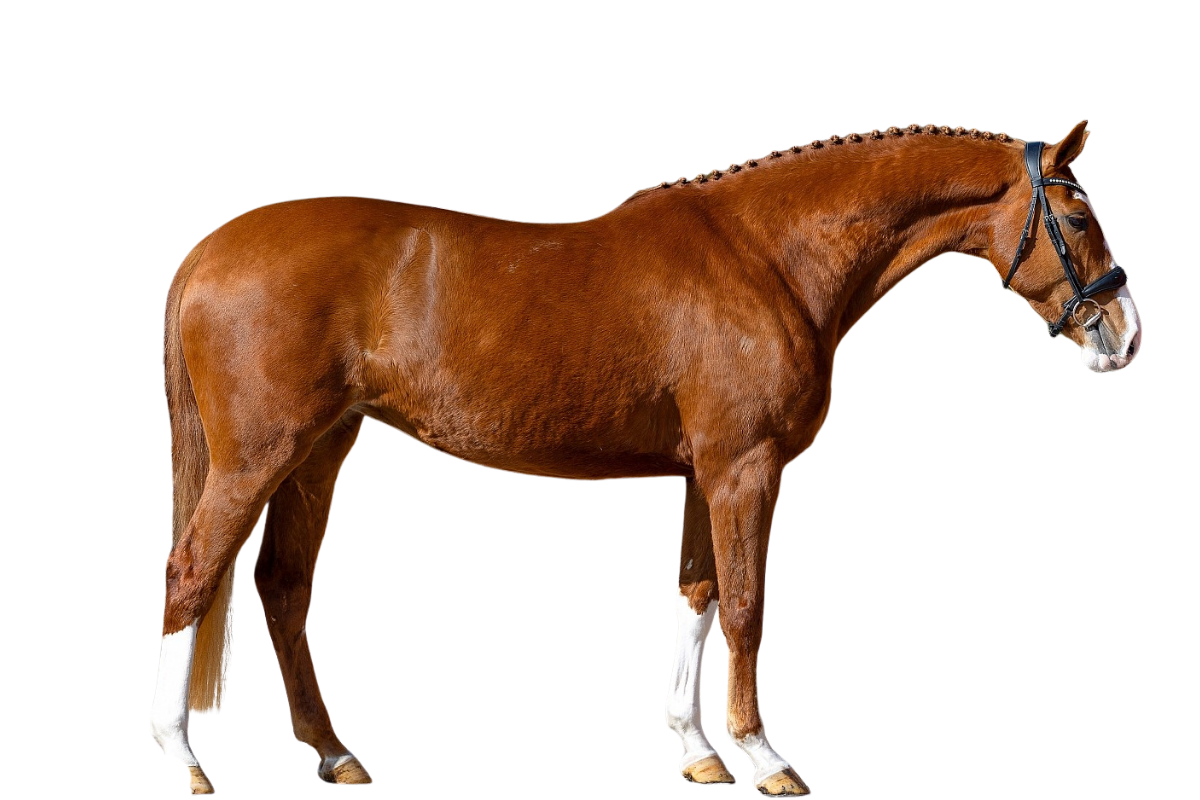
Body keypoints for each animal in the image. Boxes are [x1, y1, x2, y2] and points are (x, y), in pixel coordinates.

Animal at [151, 120, 1141, 796]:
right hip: (258, 455)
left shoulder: (709, 472)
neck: (768, 256)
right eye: (1079, 216)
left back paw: (336, 754)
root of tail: (208, 251)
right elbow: (746, 607)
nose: (1125, 340)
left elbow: (694, 600)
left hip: (323, 450)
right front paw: (767, 759)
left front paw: (699, 752)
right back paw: (185, 757)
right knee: (194, 572)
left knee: (281, 587)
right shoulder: (747, 468)